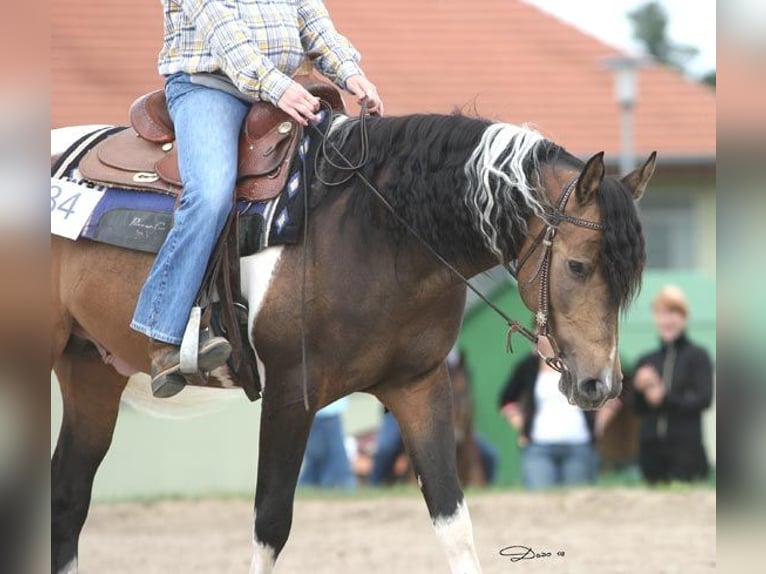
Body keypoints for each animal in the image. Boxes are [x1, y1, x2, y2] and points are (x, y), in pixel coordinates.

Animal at [51, 111, 656, 574]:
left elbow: (453, 521)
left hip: (90, 372)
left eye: (629, 278)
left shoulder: (420, 387)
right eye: (577, 266)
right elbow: (270, 523)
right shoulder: (290, 395)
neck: (376, 235)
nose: (600, 384)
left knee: (68, 497)